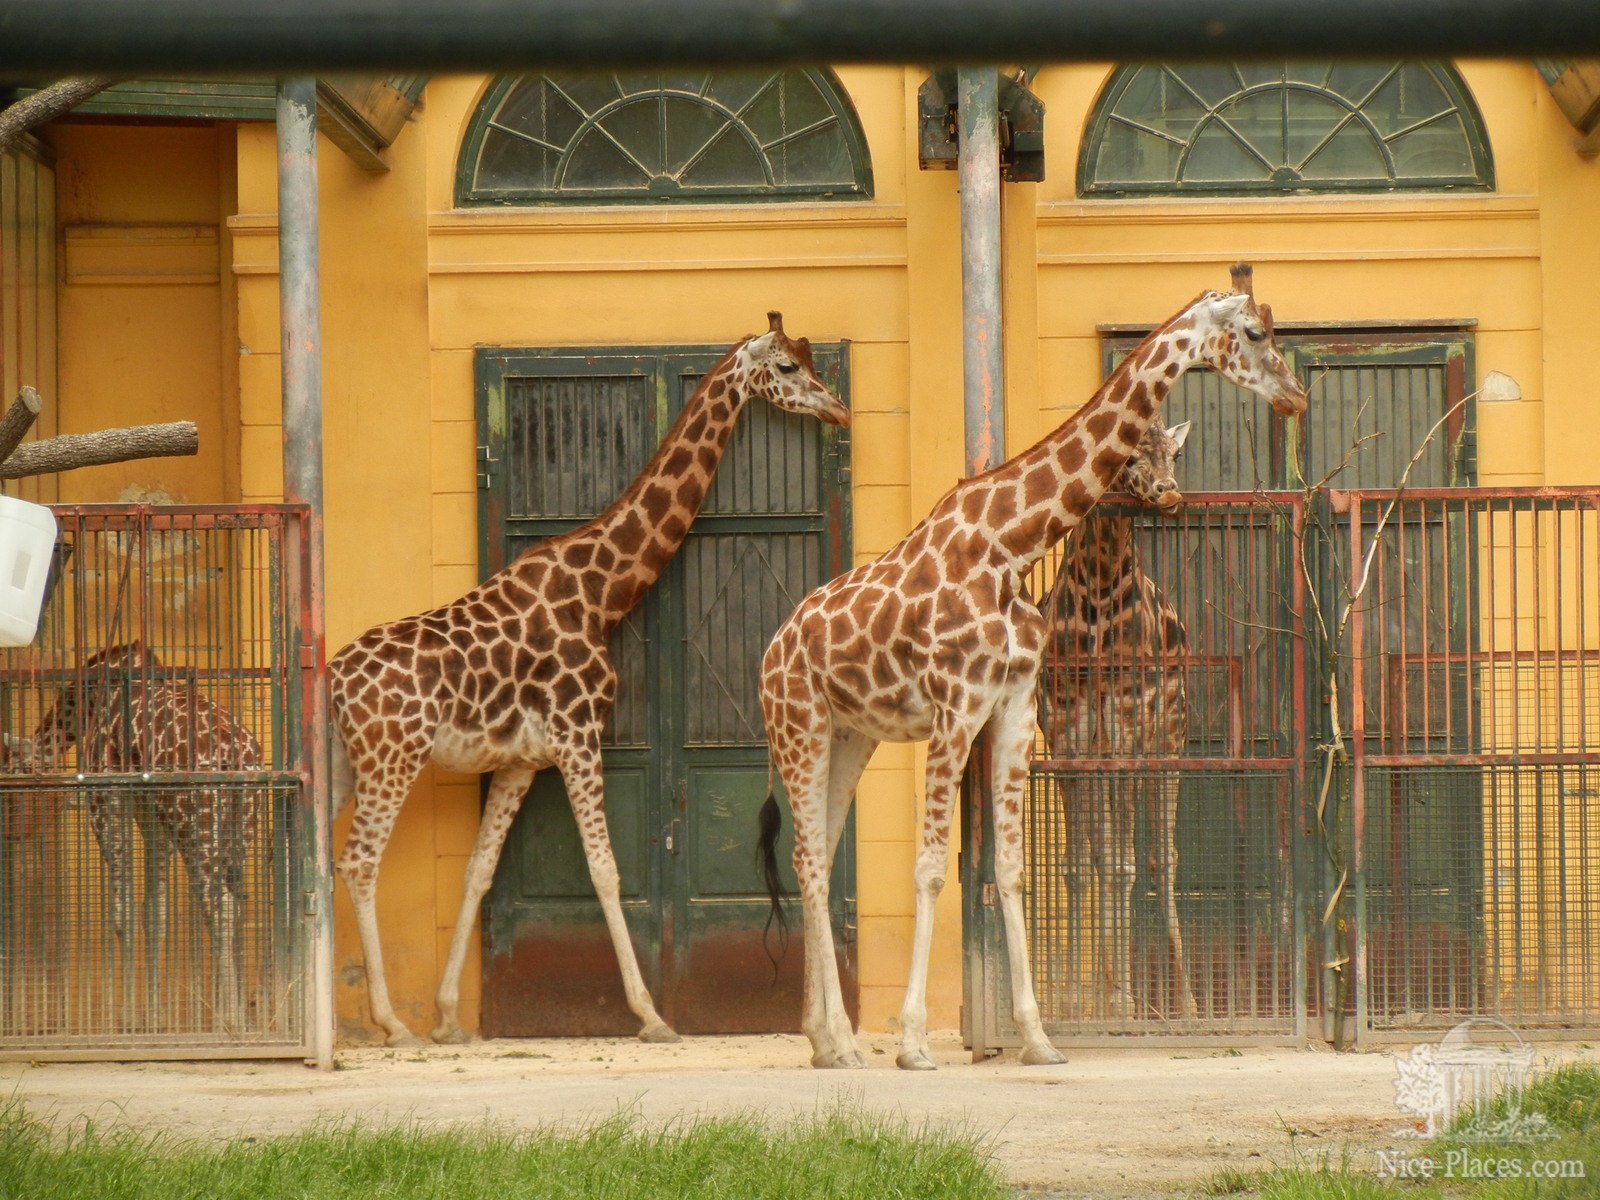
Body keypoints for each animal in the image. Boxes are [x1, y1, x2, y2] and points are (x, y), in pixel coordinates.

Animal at [15, 643, 260, 1030]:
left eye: (20, 770)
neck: (85, 703)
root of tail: (239, 755)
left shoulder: (106, 797)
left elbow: (123, 913)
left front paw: (129, 1020)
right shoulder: (151, 815)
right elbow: (154, 914)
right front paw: (153, 1018)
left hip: (196, 827)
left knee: (220, 906)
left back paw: (231, 1022)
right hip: (239, 829)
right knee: (236, 906)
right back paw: (232, 1015)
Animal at [332, 312, 857, 1049]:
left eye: (812, 361)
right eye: (786, 368)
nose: (838, 409)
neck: (597, 592)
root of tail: (333, 683)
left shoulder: (522, 761)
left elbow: (478, 871)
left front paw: (448, 1017)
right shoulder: (579, 735)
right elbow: (607, 871)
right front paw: (653, 1017)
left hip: (347, 765)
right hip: (391, 759)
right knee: (358, 861)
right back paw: (387, 1024)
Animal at [1036, 419, 1203, 1024]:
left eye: (1174, 453)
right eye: (1129, 453)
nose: (1169, 492)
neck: (1098, 590)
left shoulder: (1129, 723)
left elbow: (1126, 865)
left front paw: (1124, 1000)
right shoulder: (1068, 732)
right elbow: (1080, 865)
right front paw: (1072, 1000)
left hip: (1169, 742)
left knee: (1162, 857)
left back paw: (1184, 1003)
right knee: (1107, 853)